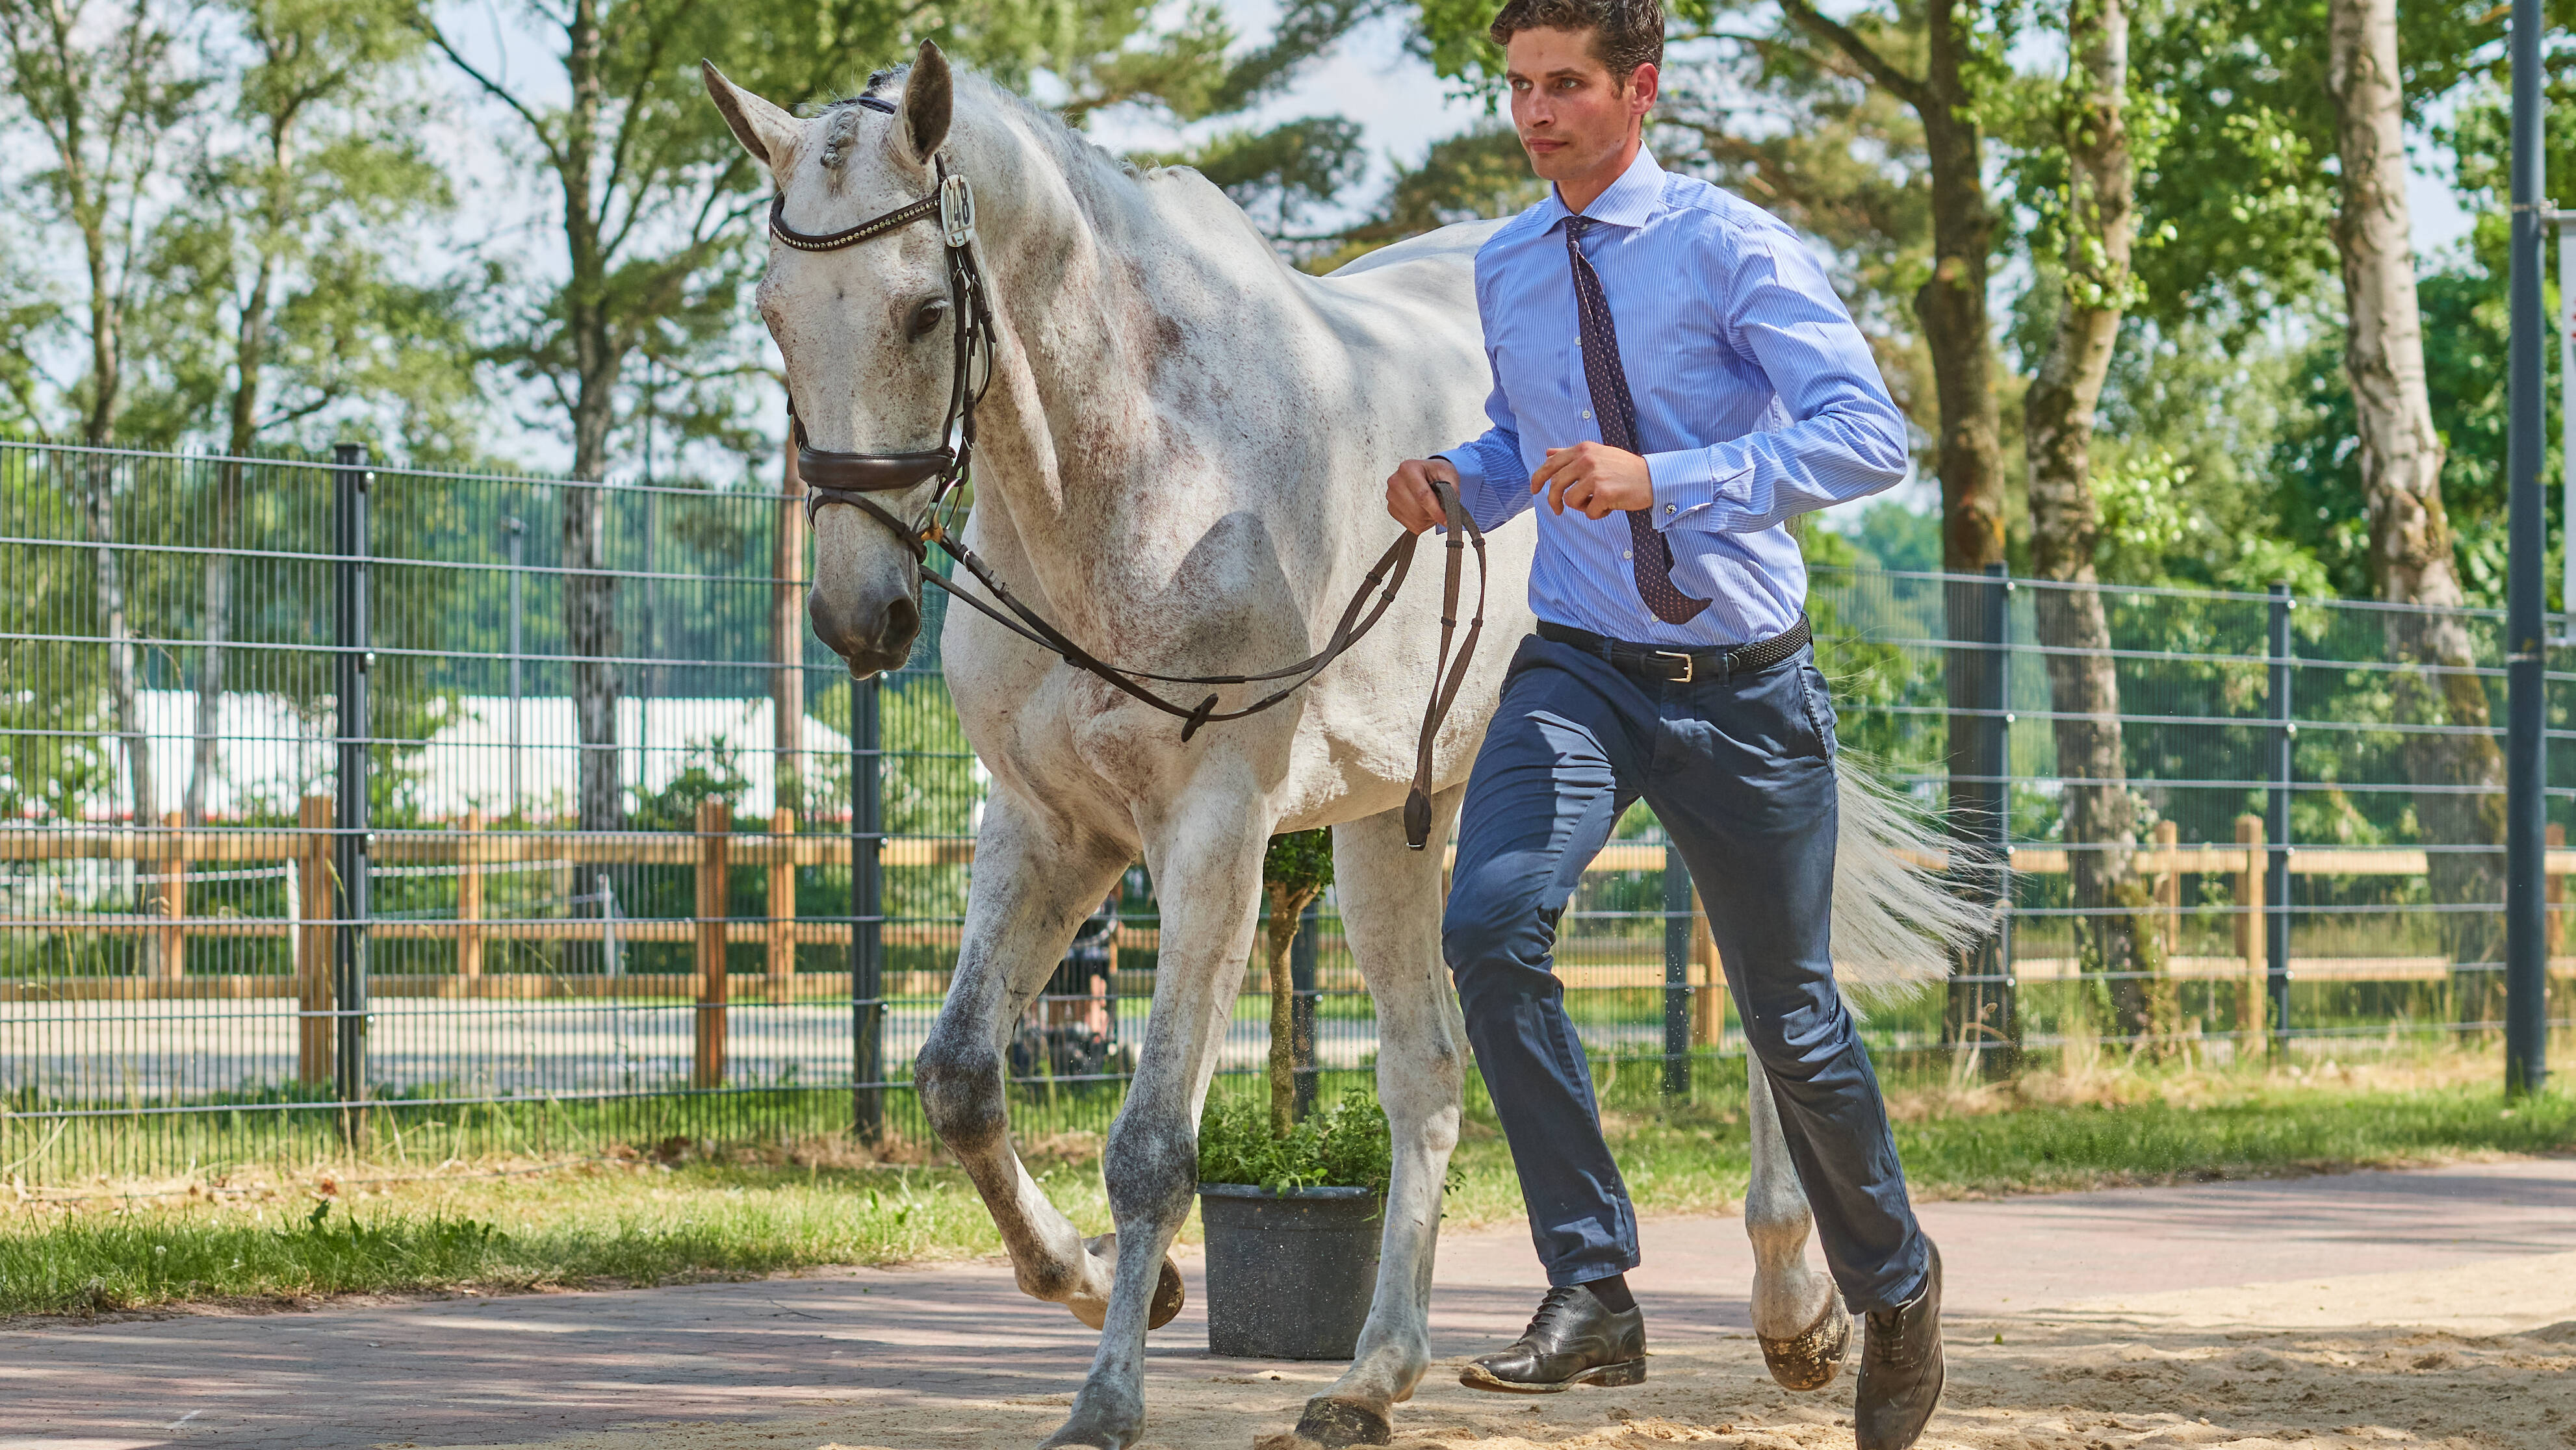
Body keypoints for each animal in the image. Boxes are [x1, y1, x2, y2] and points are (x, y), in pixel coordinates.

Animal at [703, 44, 1981, 1450]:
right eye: (773, 313)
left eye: (924, 312)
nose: (855, 615)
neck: (1143, 472)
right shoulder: (1050, 827)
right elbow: (958, 1081)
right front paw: (1105, 1284)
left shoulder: (1213, 832)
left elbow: (1150, 1147)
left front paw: (1106, 1398)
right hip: (1397, 822)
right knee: (1426, 1072)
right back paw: (1376, 1374)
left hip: (1689, 785)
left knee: (1766, 1012)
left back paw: (1796, 1311)